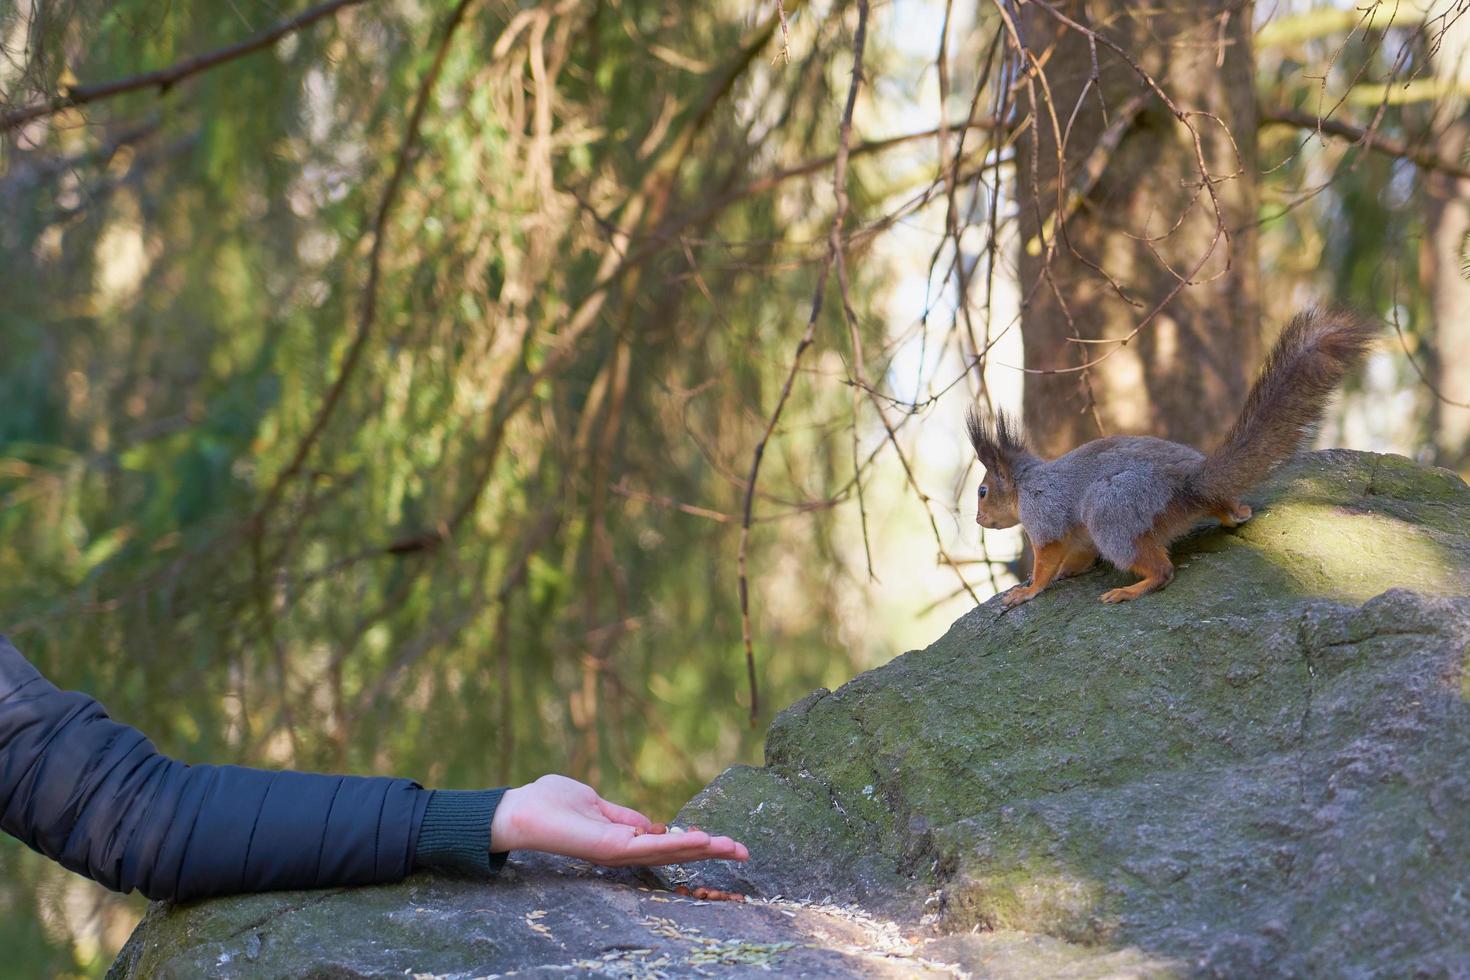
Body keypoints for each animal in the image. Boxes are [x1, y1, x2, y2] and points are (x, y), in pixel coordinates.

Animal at [964, 310, 1375, 608]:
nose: (978, 520)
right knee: (1223, 509)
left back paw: (1130, 590)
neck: (1025, 483)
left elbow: (1046, 560)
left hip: (1111, 513)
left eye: (982, 491)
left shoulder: (1044, 514)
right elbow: (1076, 556)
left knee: (1161, 570)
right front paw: (1067, 573)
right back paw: (1236, 513)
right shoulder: (1077, 537)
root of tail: (1190, 484)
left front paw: (1028, 590)